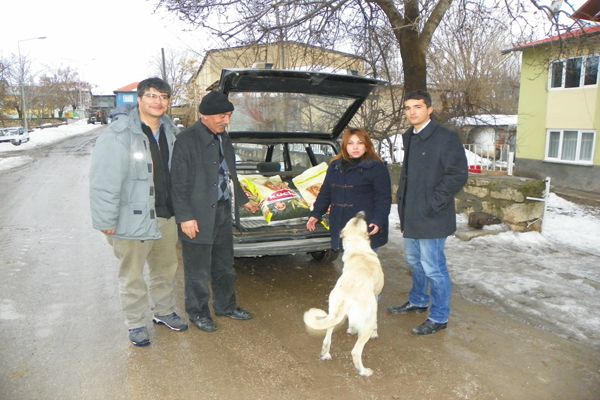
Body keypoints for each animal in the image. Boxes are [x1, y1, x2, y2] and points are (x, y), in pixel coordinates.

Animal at [304, 211, 384, 376]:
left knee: (327, 339)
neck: (358, 248)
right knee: (355, 351)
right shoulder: (376, 297)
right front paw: (374, 332)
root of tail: (347, 296)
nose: (361, 212)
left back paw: (325, 354)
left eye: (357, 219)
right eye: (361, 220)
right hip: (366, 324)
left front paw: (351, 329)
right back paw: (364, 371)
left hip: (333, 314)